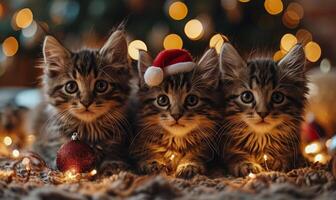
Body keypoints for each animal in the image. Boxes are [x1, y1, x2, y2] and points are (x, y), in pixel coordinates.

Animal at [33, 30, 132, 170]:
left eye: (101, 85)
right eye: (71, 87)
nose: (86, 102)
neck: (88, 131)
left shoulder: (120, 141)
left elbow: (115, 154)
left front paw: (113, 165)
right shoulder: (45, 144)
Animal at [129, 48, 223, 178]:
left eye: (192, 100)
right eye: (162, 100)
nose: (176, 115)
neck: (176, 142)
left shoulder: (207, 144)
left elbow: (198, 152)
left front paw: (188, 164)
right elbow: (146, 151)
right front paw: (154, 162)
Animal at [219, 43, 308, 176]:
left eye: (277, 97)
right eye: (247, 96)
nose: (262, 113)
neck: (261, 140)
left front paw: (279, 160)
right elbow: (234, 154)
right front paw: (246, 163)